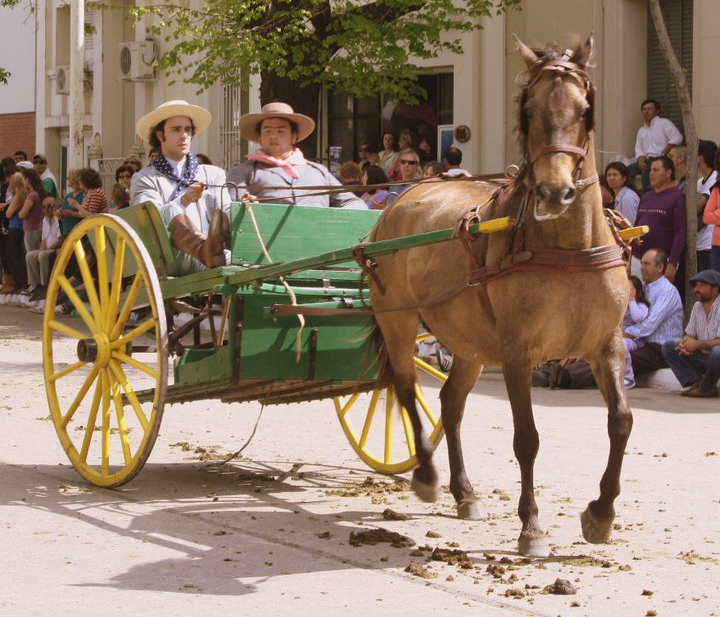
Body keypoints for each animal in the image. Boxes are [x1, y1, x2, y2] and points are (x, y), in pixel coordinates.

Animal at [368, 35, 632, 560]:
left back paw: (464, 492)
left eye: (584, 109)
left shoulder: (606, 343)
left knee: (450, 404)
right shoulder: (517, 352)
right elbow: (526, 438)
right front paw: (532, 526)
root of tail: (402, 197)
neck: (568, 247)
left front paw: (600, 514)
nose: (555, 191)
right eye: (529, 110)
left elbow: (620, 422)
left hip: (469, 342)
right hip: (399, 321)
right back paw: (426, 474)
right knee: (405, 387)